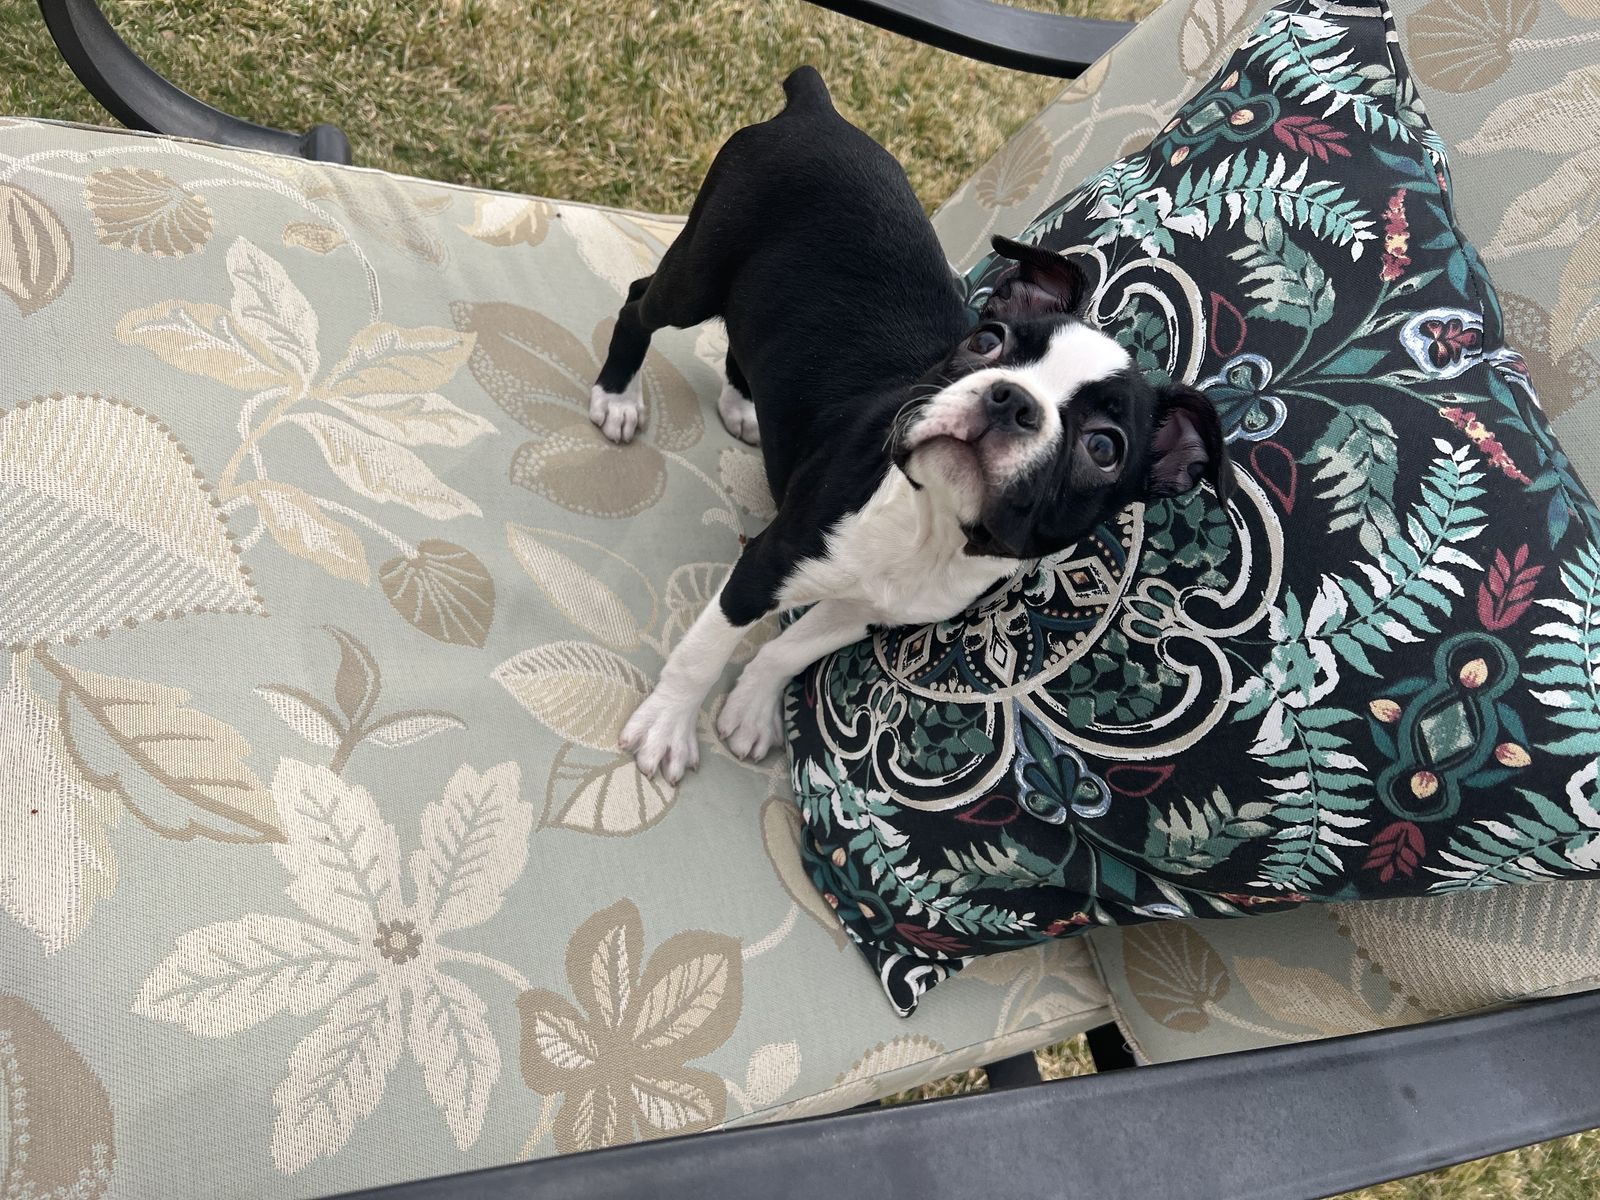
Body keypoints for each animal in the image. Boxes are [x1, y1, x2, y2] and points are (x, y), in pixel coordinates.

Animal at [590, 66, 1231, 782]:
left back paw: (739, 405)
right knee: (640, 303)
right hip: (702, 266)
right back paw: (617, 397)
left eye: (1103, 447)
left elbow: (789, 651)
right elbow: (706, 650)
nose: (1010, 399)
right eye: (986, 341)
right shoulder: (767, 562)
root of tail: (817, 110)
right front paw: (670, 725)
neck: (931, 529)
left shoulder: (863, 612)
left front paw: (753, 707)